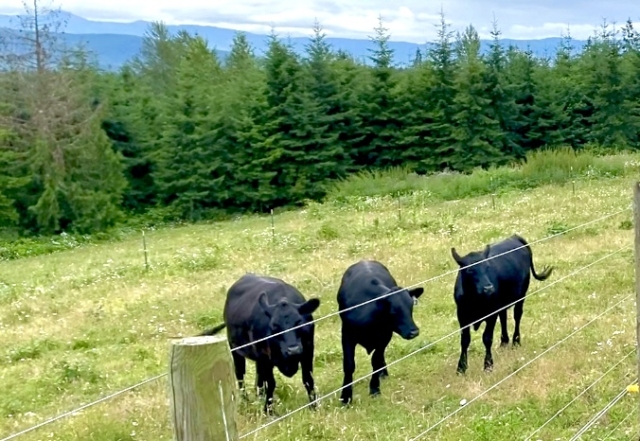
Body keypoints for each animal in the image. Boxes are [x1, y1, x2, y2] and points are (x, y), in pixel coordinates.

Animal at [200, 272, 320, 412]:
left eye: (299, 322)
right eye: (274, 326)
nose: (293, 350)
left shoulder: (308, 351)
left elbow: (308, 379)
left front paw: (314, 406)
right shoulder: (265, 358)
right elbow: (271, 383)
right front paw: (268, 410)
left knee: (259, 377)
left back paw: (259, 396)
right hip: (235, 348)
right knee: (240, 374)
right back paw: (246, 400)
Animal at [336, 260, 424, 404]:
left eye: (411, 306)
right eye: (393, 310)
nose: (414, 332)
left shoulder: (385, 337)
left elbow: (376, 361)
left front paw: (375, 389)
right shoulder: (347, 335)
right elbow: (349, 365)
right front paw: (346, 396)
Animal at [450, 232, 556, 372]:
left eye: (487, 267)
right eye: (469, 270)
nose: (488, 288)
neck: (474, 300)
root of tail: (514, 237)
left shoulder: (491, 314)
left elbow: (487, 338)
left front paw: (488, 365)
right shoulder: (462, 315)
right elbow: (465, 340)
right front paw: (461, 367)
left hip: (521, 295)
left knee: (517, 315)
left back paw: (516, 341)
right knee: (504, 316)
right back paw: (504, 342)